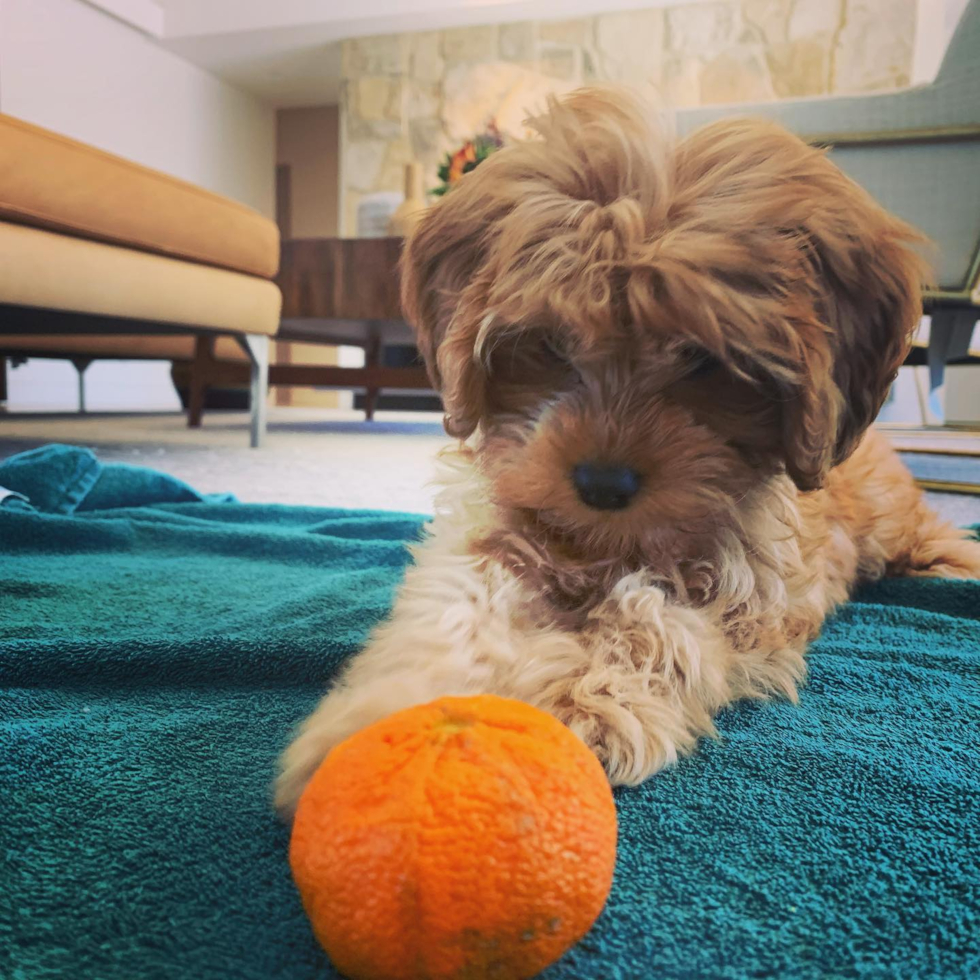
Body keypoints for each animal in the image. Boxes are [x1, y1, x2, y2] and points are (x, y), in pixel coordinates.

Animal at [274, 88, 980, 816]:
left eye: (703, 359)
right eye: (551, 343)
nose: (602, 485)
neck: (610, 545)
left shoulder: (753, 595)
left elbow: (656, 620)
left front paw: (579, 698)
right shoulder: (498, 525)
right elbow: (454, 603)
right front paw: (394, 732)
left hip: (889, 519)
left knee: (926, 535)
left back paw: (951, 567)